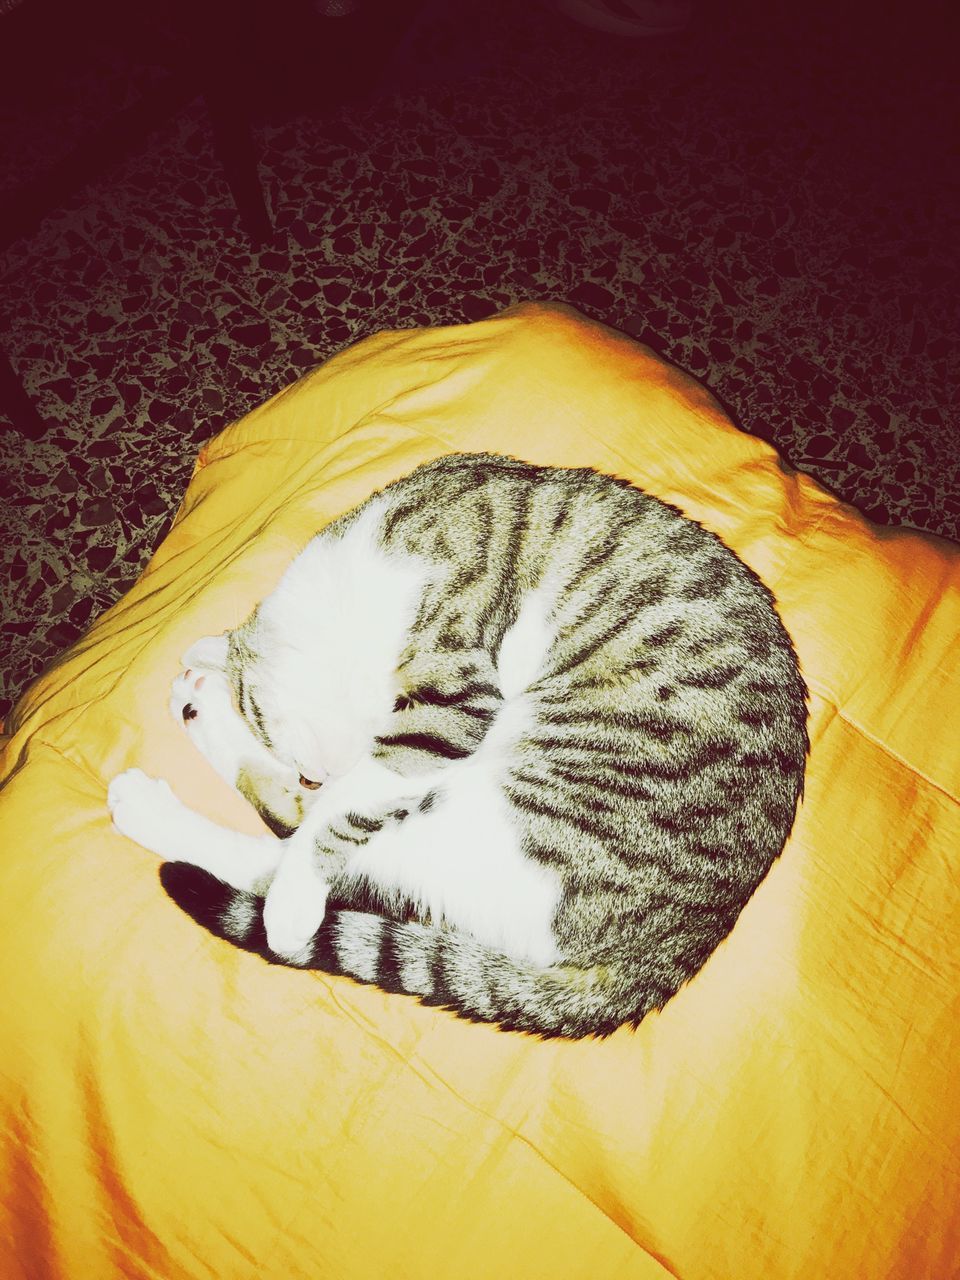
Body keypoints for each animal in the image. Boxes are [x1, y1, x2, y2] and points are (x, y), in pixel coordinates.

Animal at [106, 455, 814, 1034]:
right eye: (305, 767)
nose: (320, 773)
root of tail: (668, 953)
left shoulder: (449, 706)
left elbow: (332, 815)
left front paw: (295, 890)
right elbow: (319, 811)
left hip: (511, 807)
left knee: (292, 856)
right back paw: (187, 718)